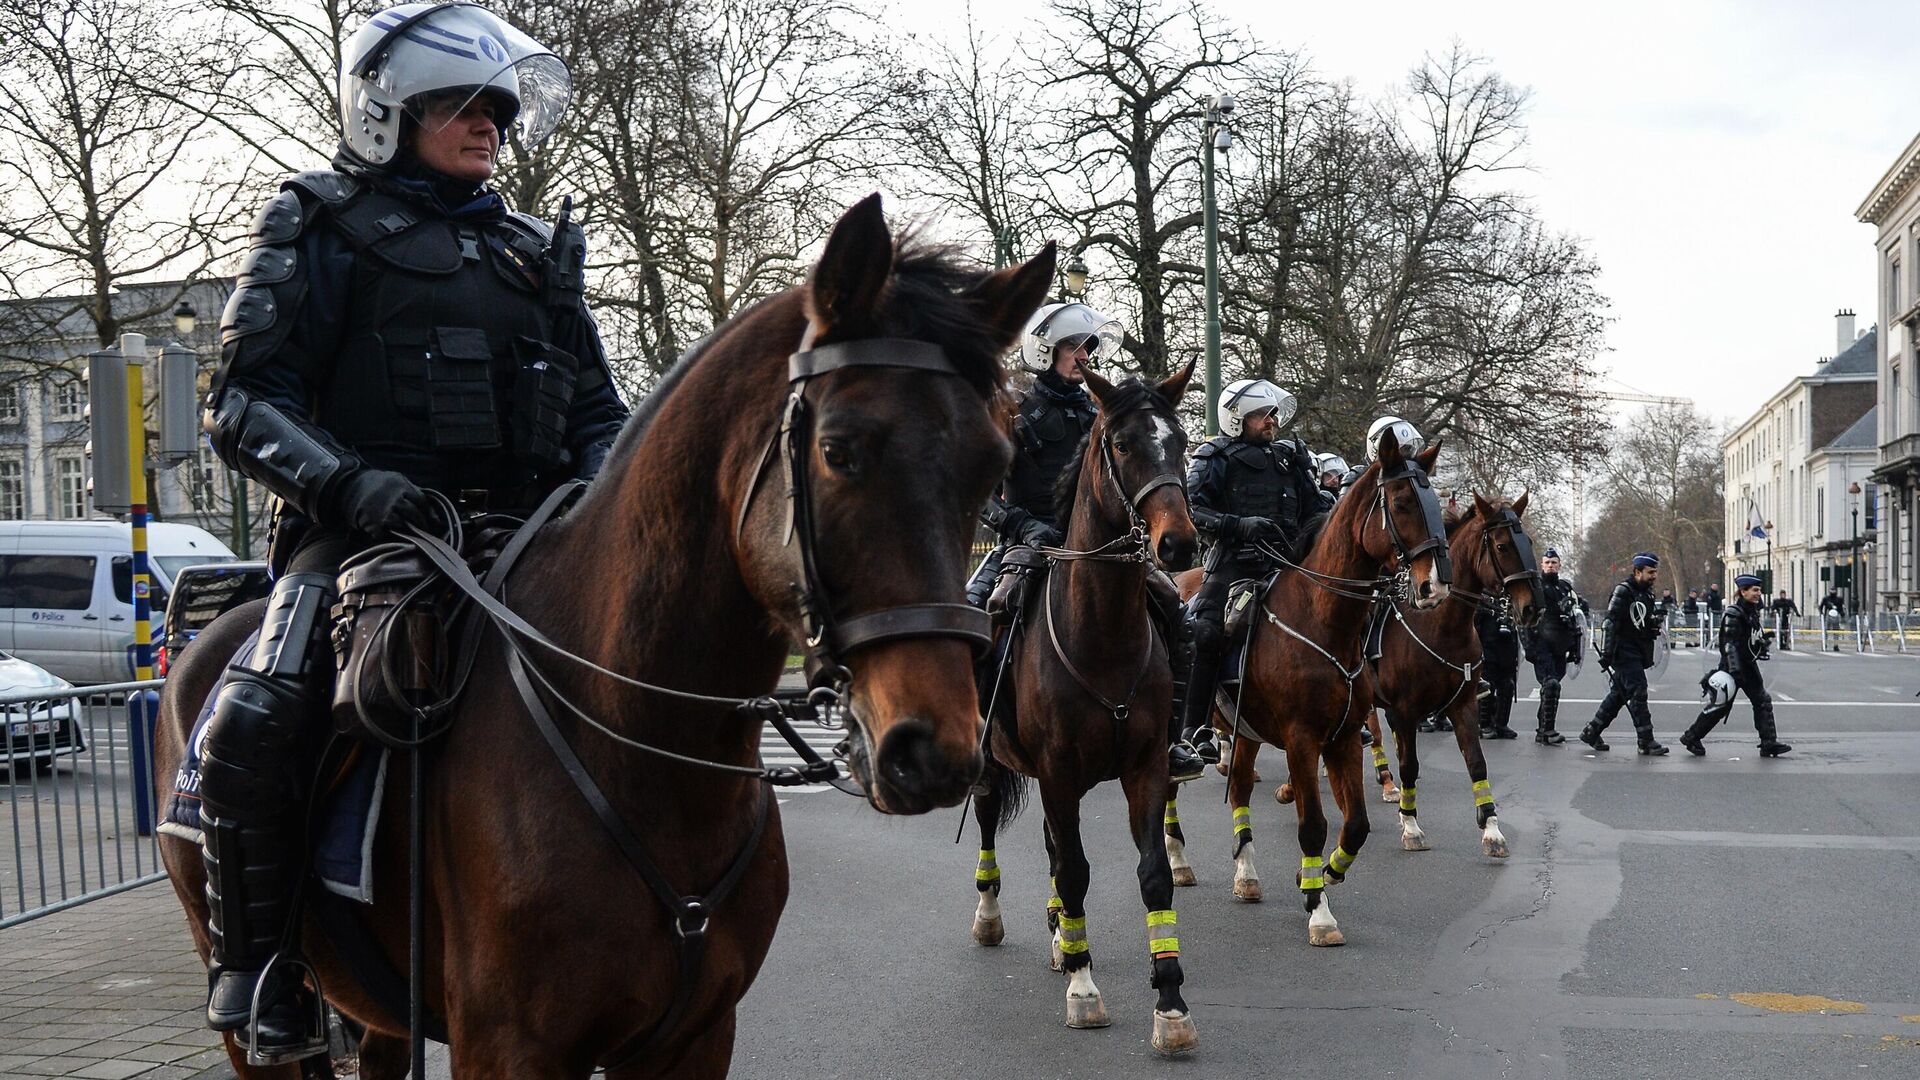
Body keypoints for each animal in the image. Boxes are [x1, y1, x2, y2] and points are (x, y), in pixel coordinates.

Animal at [155, 195, 1059, 1076]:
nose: (935, 748)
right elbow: (249, 390)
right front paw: (389, 496)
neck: (645, 749)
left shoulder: (695, 1038)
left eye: (992, 465)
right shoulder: (509, 1049)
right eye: (839, 450)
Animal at [975, 359, 1198, 1045]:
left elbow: (1151, 873)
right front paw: (1083, 989)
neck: (1101, 635)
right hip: (994, 762)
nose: (1179, 545)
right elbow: (1075, 871)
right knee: (991, 821)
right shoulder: (1058, 772)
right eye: (1122, 445)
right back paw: (992, 916)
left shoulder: (1145, 768)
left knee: (1052, 848)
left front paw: (1170, 1001)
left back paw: (1061, 938)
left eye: (1182, 441)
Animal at [1152, 434, 1443, 941]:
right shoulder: (1302, 741)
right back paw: (1178, 860)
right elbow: (1313, 825)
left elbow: (1356, 825)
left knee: (1241, 789)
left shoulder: (1342, 738)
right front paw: (1318, 910)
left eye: (1435, 505)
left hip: (1246, 732)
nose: (1432, 587)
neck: (1321, 619)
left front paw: (1325, 874)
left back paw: (1247, 875)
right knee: (1172, 788)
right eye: (1402, 502)